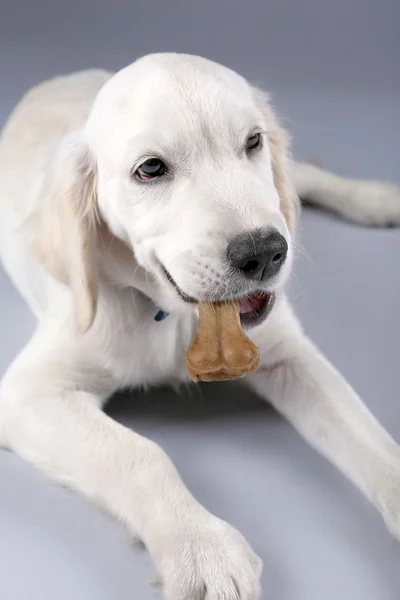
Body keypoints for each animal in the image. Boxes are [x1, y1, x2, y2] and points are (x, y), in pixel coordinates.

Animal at [0, 54, 400, 596]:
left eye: (251, 142)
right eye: (150, 169)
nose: (265, 252)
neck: (174, 314)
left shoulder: (292, 356)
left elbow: (370, 436)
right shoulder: (30, 393)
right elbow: (141, 455)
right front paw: (203, 549)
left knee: (304, 180)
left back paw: (376, 199)